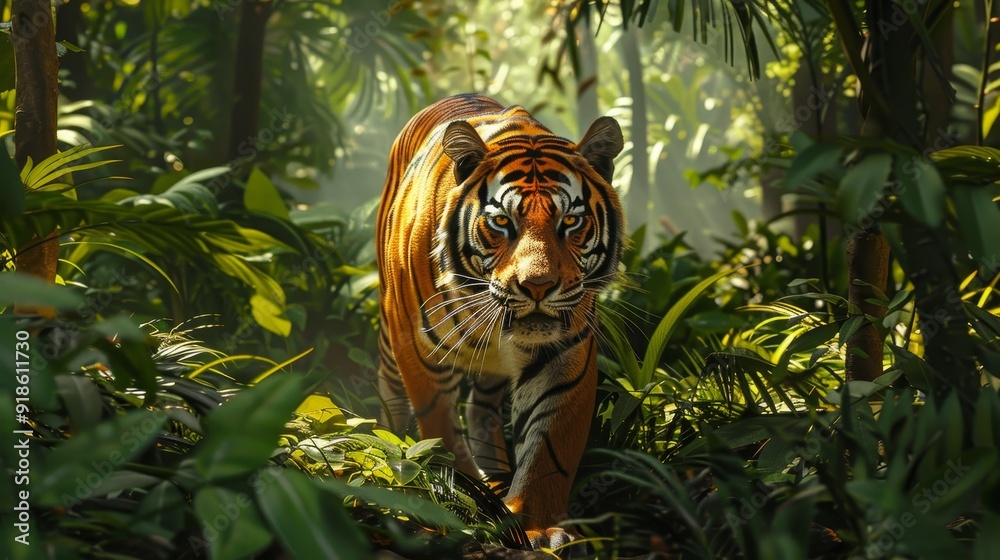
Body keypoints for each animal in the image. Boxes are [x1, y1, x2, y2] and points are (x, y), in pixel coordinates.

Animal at [376, 93, 624, 550]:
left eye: (571, 221)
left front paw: (541, 527)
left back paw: (496, 476)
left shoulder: (565, 353)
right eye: (502, 222)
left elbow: (549, 445)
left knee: (481, 409)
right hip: (390, 330)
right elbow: (441, 432)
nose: (538, 285)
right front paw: (464, 503)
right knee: (391, 391)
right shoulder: (420, 352)